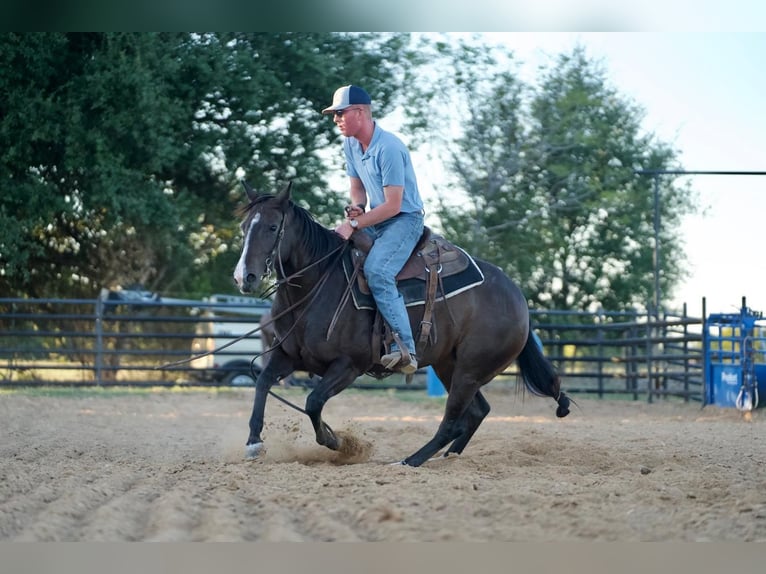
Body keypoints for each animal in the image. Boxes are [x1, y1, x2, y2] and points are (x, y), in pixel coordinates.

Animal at [234, 183, 568, 468]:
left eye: (273, 227)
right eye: (244, 227)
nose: (244, 277)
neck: (317, 285)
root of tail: (517, 298)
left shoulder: (348, 365)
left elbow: (313, 402)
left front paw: (338, 442)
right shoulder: (288, 356)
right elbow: (262, 382)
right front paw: (253, 443)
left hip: (471, 370)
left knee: (453, 421)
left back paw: (411, 461)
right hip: (449, 365)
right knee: (477, 412)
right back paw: (448, 457)